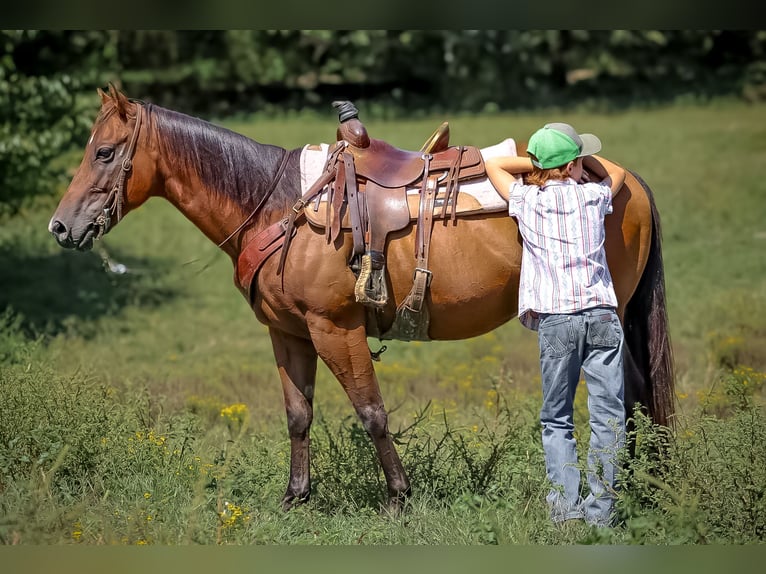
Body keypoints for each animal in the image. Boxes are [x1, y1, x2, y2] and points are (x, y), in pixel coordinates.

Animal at [49, 85, 674, 512]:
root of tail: (624, 179)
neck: (282, 205)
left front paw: (399, 496)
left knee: (629, 397)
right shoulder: (289, 333)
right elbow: (298, 414)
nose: (60, 226)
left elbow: (371, 411)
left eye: (104, 152)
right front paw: (296, 497)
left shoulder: (335, 328)